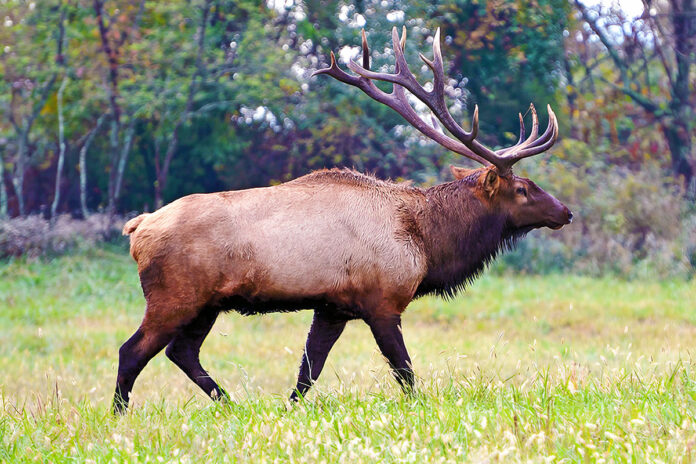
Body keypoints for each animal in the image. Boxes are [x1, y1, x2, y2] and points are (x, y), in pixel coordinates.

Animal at [113, 26, 573, 413]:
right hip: (174, 295)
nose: (565, 211)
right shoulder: (382, 301)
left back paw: (230, 403)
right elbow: (404, 371)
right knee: (132, 351)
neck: (426, 242)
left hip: (207, 303)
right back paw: (120, 415)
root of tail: (137, 228)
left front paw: (288, 411)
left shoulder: (333, 307)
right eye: (523, 189)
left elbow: (307, 372)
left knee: (181, 352)